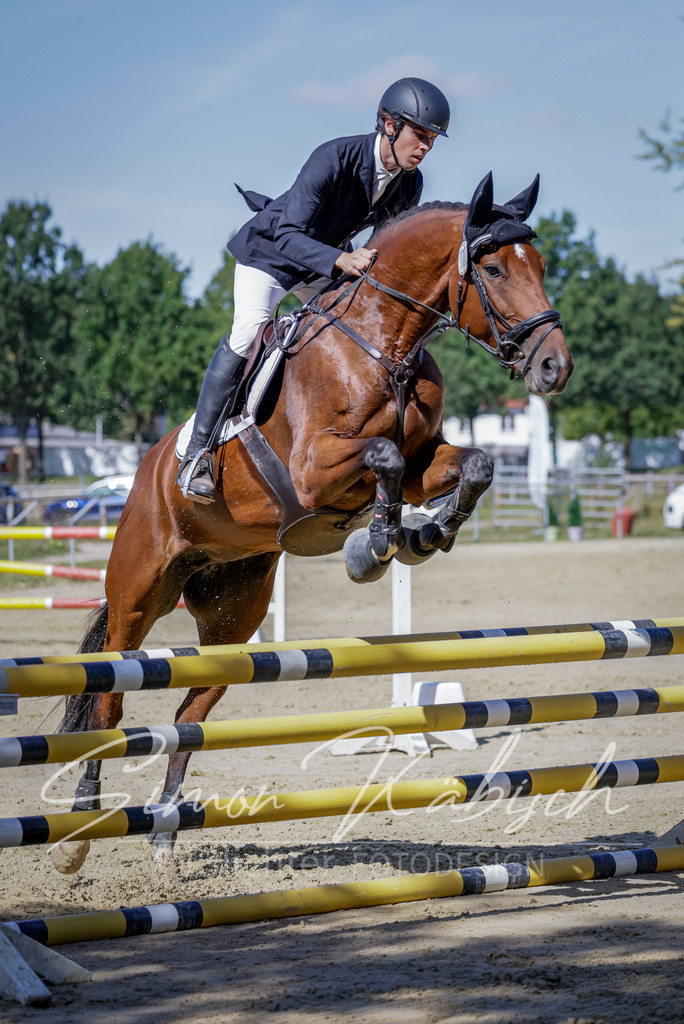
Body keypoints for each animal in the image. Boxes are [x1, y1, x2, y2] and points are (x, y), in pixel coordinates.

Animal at [52, 171, 573, 873]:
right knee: (109, 693)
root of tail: (144, 472)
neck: (385, 343)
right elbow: (380, 457)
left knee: (192, 709)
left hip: (232, 612)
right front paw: (376, 546)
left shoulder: (422, 463)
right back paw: (80, 830)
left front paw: (422, 536)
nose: (554, 367)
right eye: (492, 269)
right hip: (137, 592)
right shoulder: (312, 471)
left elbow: (476, 464)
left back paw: (163, 830)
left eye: (540, 265)